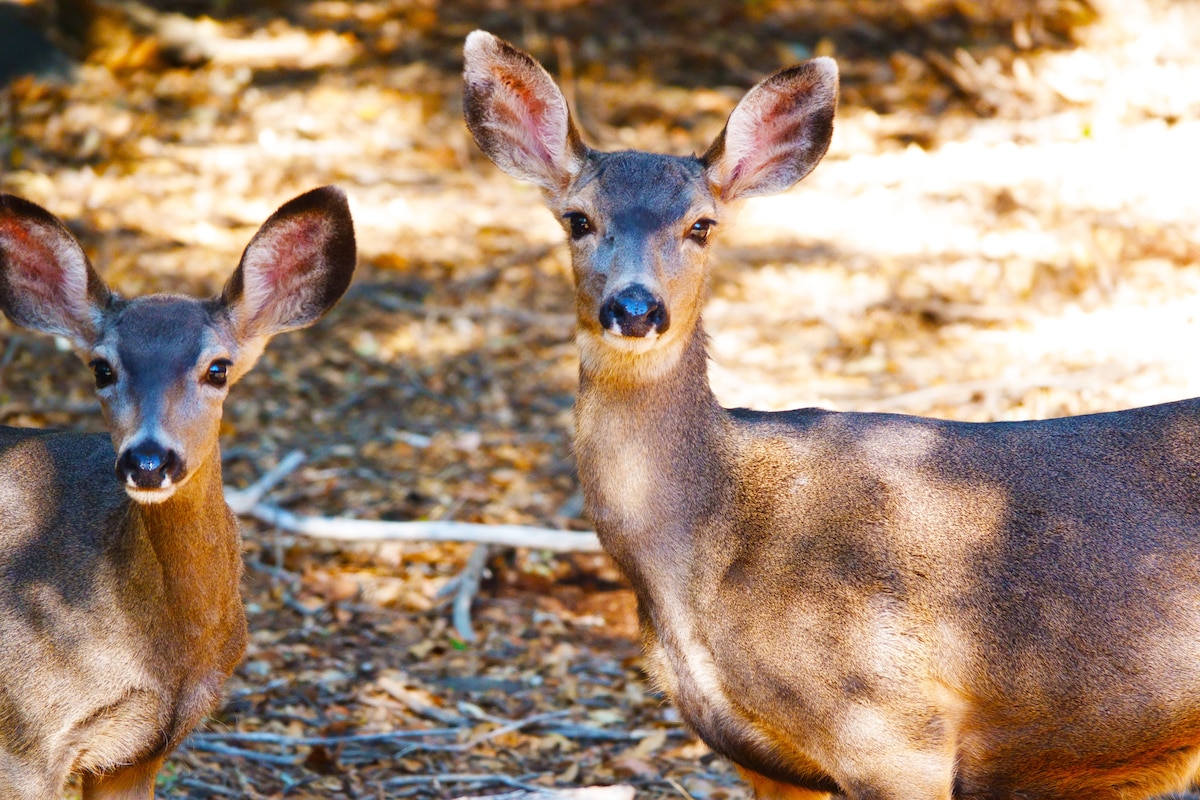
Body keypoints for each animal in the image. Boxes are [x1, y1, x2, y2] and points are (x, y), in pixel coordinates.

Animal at [460, 31, 1200, 800]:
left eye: (702, 226)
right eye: (577, 219)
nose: (635, 308)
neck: (699, 559)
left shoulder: (894, 729)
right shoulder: (765, 763)